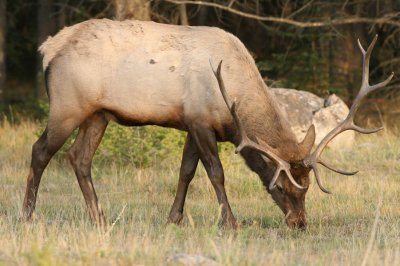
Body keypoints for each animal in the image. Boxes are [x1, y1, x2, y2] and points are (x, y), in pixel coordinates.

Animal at [21, 19, 390, 230]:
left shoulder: (191, 123)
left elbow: (186, 171)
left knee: (79, 158)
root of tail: (47, 47)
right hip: (67, 105)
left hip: (98, 113)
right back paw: (27, 215)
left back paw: (98, 218)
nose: (299, 223)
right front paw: (230, 222)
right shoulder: (200, 121)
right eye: (280, 187)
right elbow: (215, 173)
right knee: (40, 150)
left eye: (308, 187)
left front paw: (174, 218)